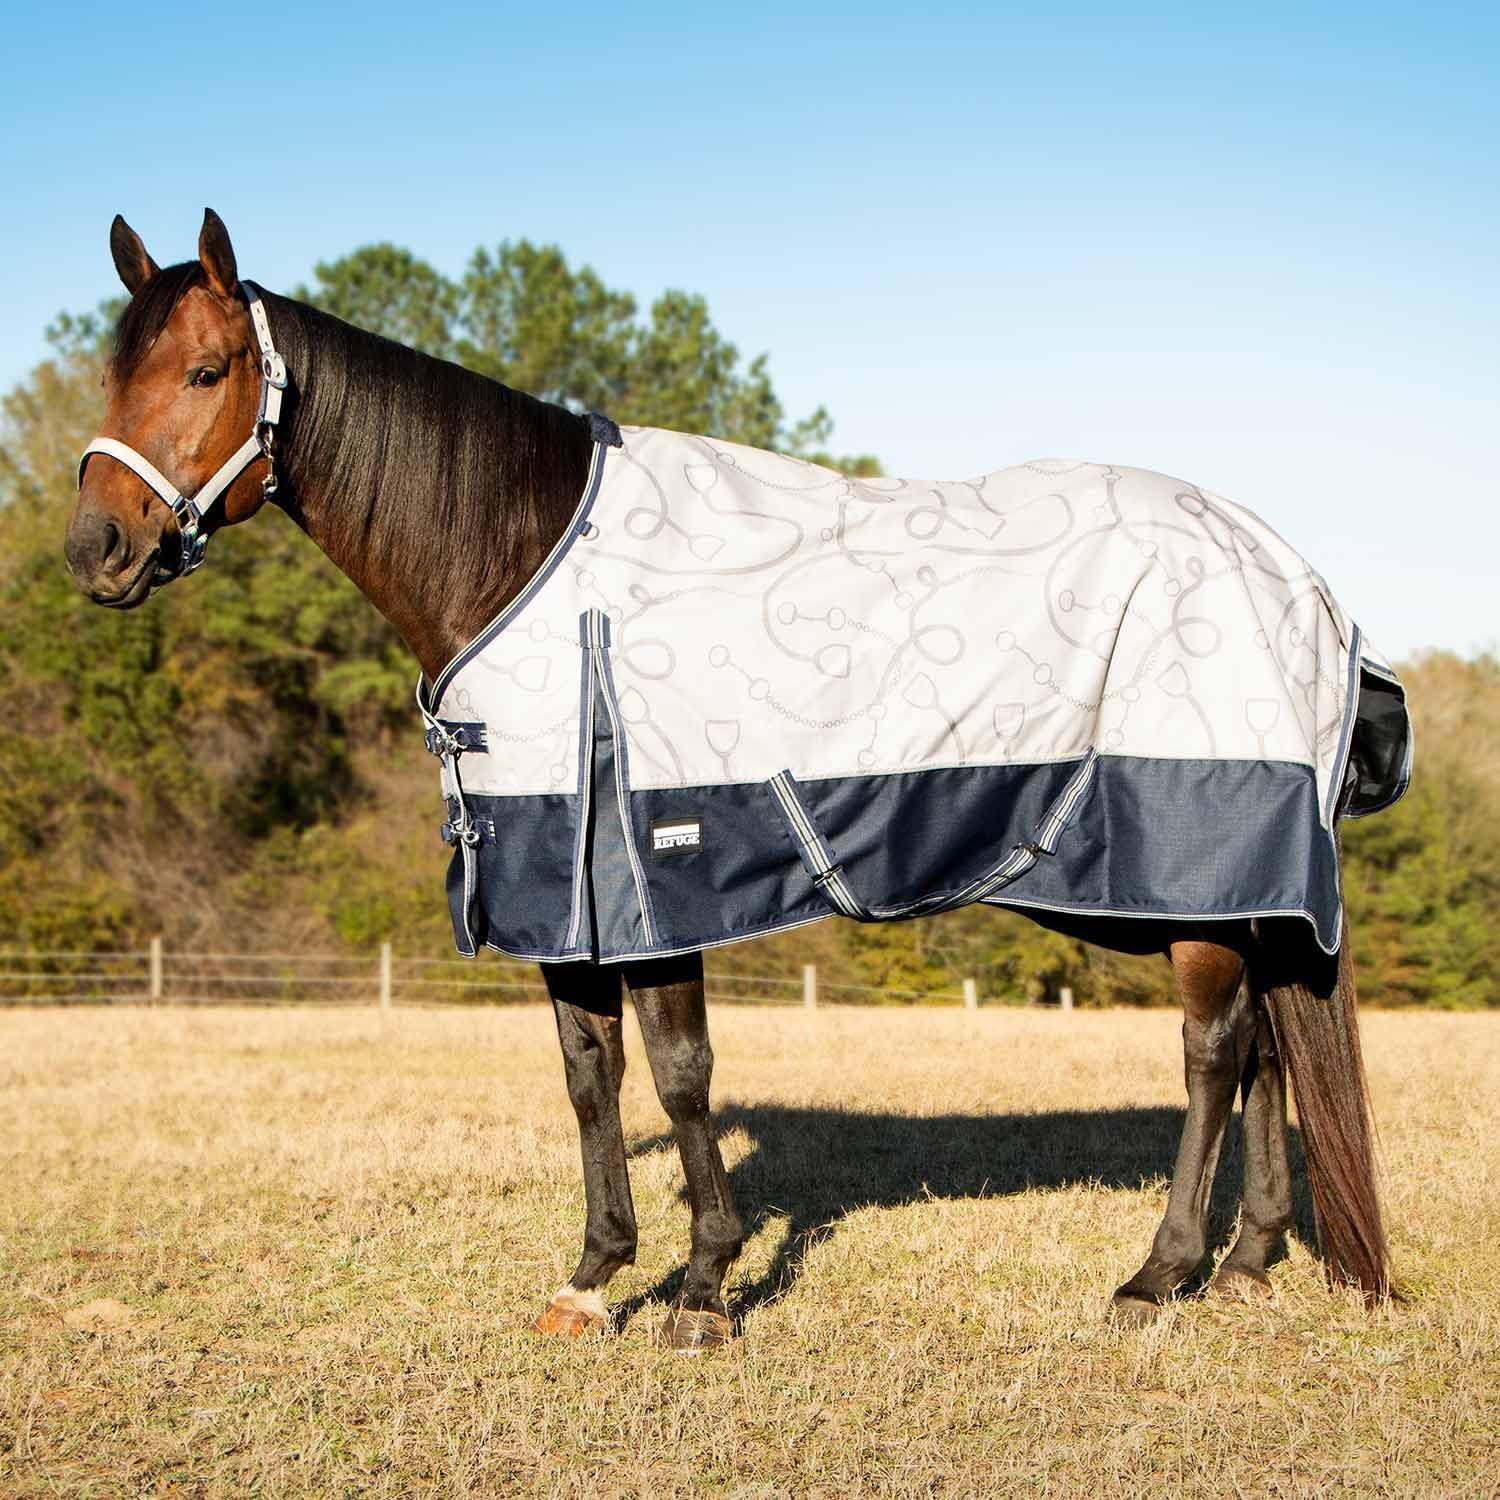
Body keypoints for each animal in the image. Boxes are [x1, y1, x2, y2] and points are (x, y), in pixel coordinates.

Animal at [65, 209, 1405, 1352]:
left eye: (206, 372)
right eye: (111, 375)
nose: (97, 550)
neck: (527, 557)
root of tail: (1294, 575)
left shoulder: (655, 877)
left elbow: (679, 1076)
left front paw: (705, 1290)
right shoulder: (563, 892)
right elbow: (590, 1079)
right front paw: (594, 1277)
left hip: (1192, 875)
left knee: (1216, 1052)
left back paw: (1157, 1273)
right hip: (1235, 892)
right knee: (1273, 1042)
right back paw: (1245, 1264)